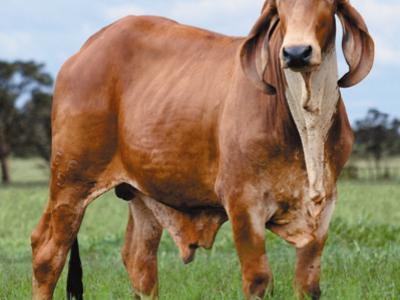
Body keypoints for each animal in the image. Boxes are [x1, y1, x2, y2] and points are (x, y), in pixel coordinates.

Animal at [32, 0, 376, 298]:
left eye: (328, 3)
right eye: (279, 7)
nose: (296, 52)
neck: (304, 122)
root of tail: (84, 51)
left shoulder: (323, 208)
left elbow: (308, 285)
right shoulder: (243, 203)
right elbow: (258, 280)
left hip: (141, 195)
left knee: (139, 262)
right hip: (71, 182)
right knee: (47, 253)